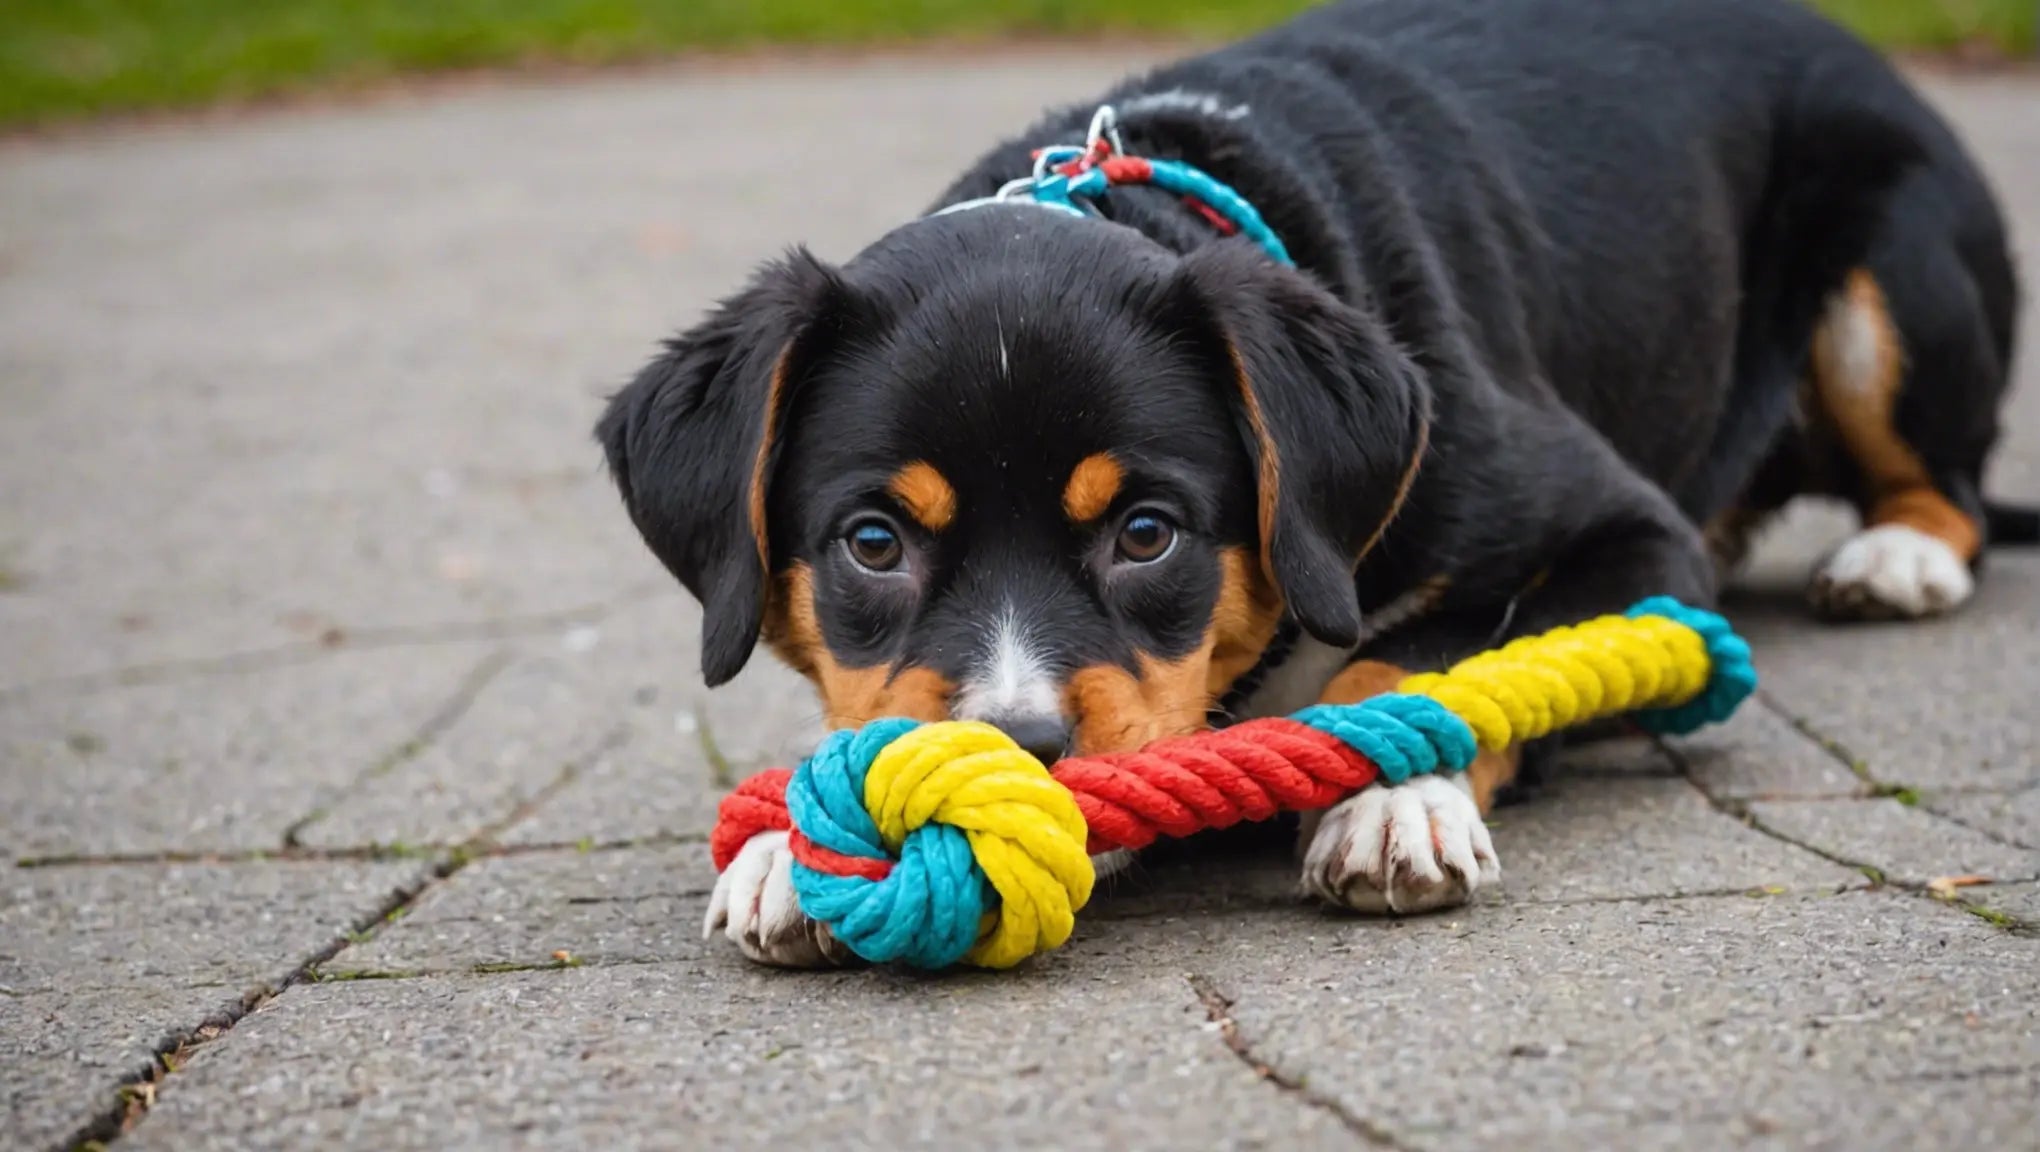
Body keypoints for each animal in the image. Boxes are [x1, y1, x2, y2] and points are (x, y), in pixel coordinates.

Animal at [595, 0, 2031, 970]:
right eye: (874, 543)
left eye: (1148, 533)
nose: (1023, 752)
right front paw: (789, 851)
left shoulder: (1630, 539)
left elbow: (1449, 657)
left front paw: (1394, 799)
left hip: (1890, 279)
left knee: (1947, 485)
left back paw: (1895, 560)